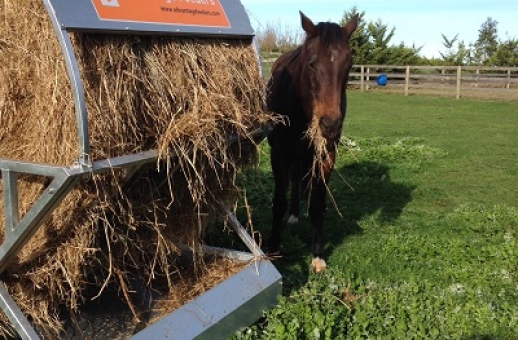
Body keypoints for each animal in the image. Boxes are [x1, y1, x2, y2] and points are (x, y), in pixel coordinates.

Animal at [266, 11, 360, 274]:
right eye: (311, 63)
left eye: (349, 65)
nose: (330, 124)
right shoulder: (279, 155)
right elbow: (279, 201)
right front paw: (274, 248)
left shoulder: (326, 155)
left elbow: (319, 203)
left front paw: (318, 254)